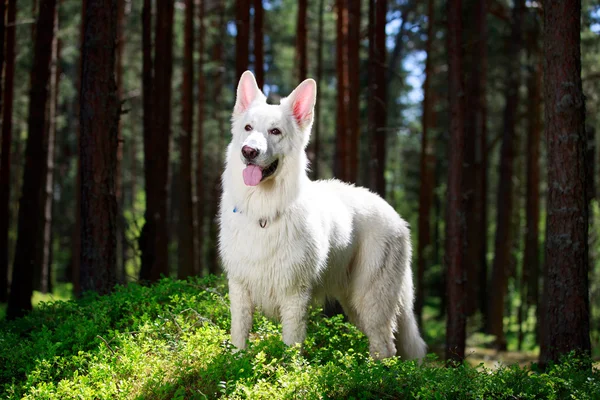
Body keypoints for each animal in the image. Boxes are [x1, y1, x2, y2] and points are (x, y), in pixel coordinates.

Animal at [218, 71, 424, 360]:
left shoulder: (294, 296)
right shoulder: (239, 289)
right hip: (355, 305)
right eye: (248, 128)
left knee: (385, 347)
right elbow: (238, 339)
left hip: (371, 301)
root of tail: (394, 213)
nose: (248, 152)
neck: (263, 211)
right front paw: (235, 364)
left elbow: (291, 348)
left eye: (275, 131)